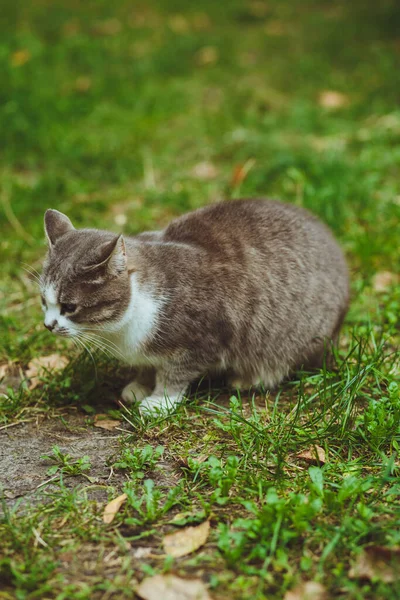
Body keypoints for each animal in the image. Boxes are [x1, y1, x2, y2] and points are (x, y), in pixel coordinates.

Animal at [39, 199, 348, 414]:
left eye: (69, 306)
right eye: (44, 301)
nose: (48, 325)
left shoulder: (205, 338)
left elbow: (176, 373)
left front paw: (160, 401)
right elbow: (147, 366)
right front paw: (140, 384)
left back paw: (249, 378)